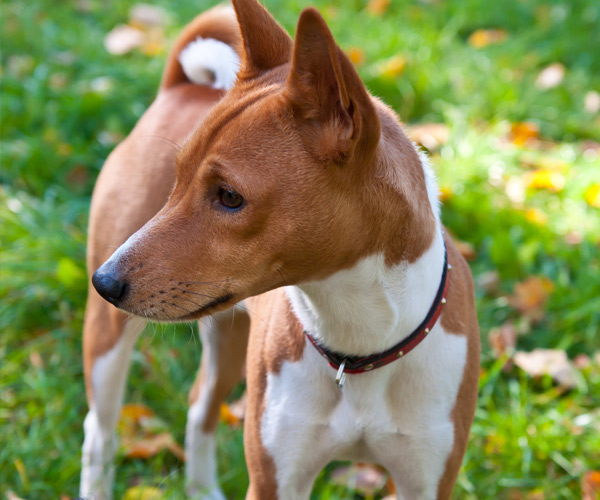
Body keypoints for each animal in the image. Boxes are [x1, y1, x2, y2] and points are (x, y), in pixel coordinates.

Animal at [82, 1, 480, 498]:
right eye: (177, 179)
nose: (104, 282)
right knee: (99, 432)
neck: (359, 348)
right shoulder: (276, 482)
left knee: (199, 409)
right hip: (109, 344)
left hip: (228, 335)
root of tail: (181, 86)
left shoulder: (426, 481)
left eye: (229, 196)